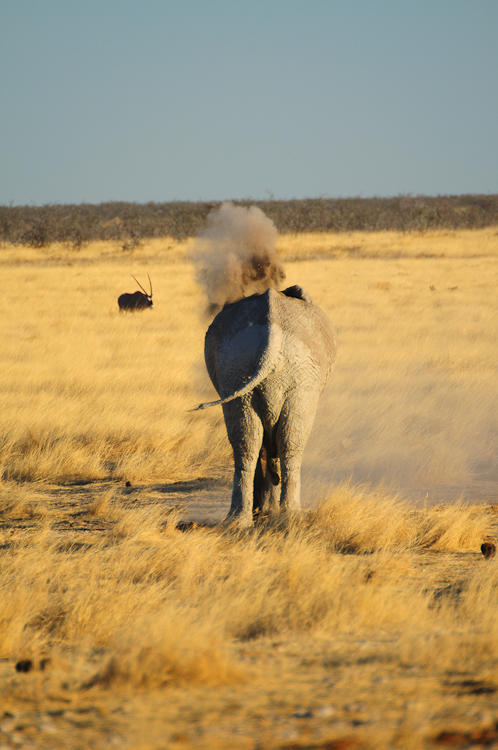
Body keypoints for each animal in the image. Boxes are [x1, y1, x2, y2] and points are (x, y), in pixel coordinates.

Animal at [196, 288, 338, 528]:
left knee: (248, 441)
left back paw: (239, 522)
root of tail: (271, 342)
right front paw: (267, 511)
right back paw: (290, 516)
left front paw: (265, 512)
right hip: (299, 378)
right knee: (290, 442)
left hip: (237, 369)